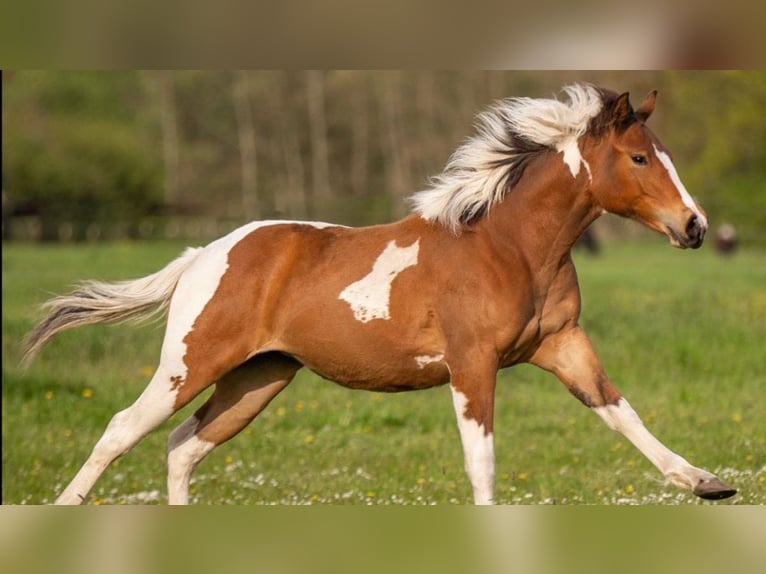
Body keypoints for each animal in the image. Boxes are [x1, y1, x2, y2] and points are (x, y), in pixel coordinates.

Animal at [23, 84, 737, 504]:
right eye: (640, 158)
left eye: (666, 154)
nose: (694, 226)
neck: (509, 246)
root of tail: (204, 255)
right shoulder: (472, 363)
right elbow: (482, 462)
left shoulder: (561, 345)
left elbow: (621, 412)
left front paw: (706, 483)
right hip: (189, 364)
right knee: (121, 431)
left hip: (259, 377)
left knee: (183, 447)